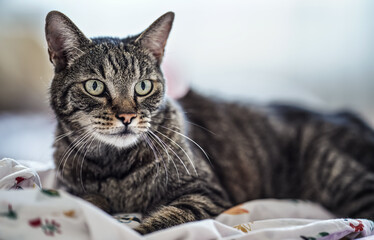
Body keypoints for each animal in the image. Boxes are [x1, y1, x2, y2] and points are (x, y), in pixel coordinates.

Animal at [45, 10, 374, 233]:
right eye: (95, 86)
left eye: (143, 86)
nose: (127, 116)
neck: (115, 165)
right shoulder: (70, 190)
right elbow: (87, 201)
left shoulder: (205, 193)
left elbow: (163, 220)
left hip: (336, 171)